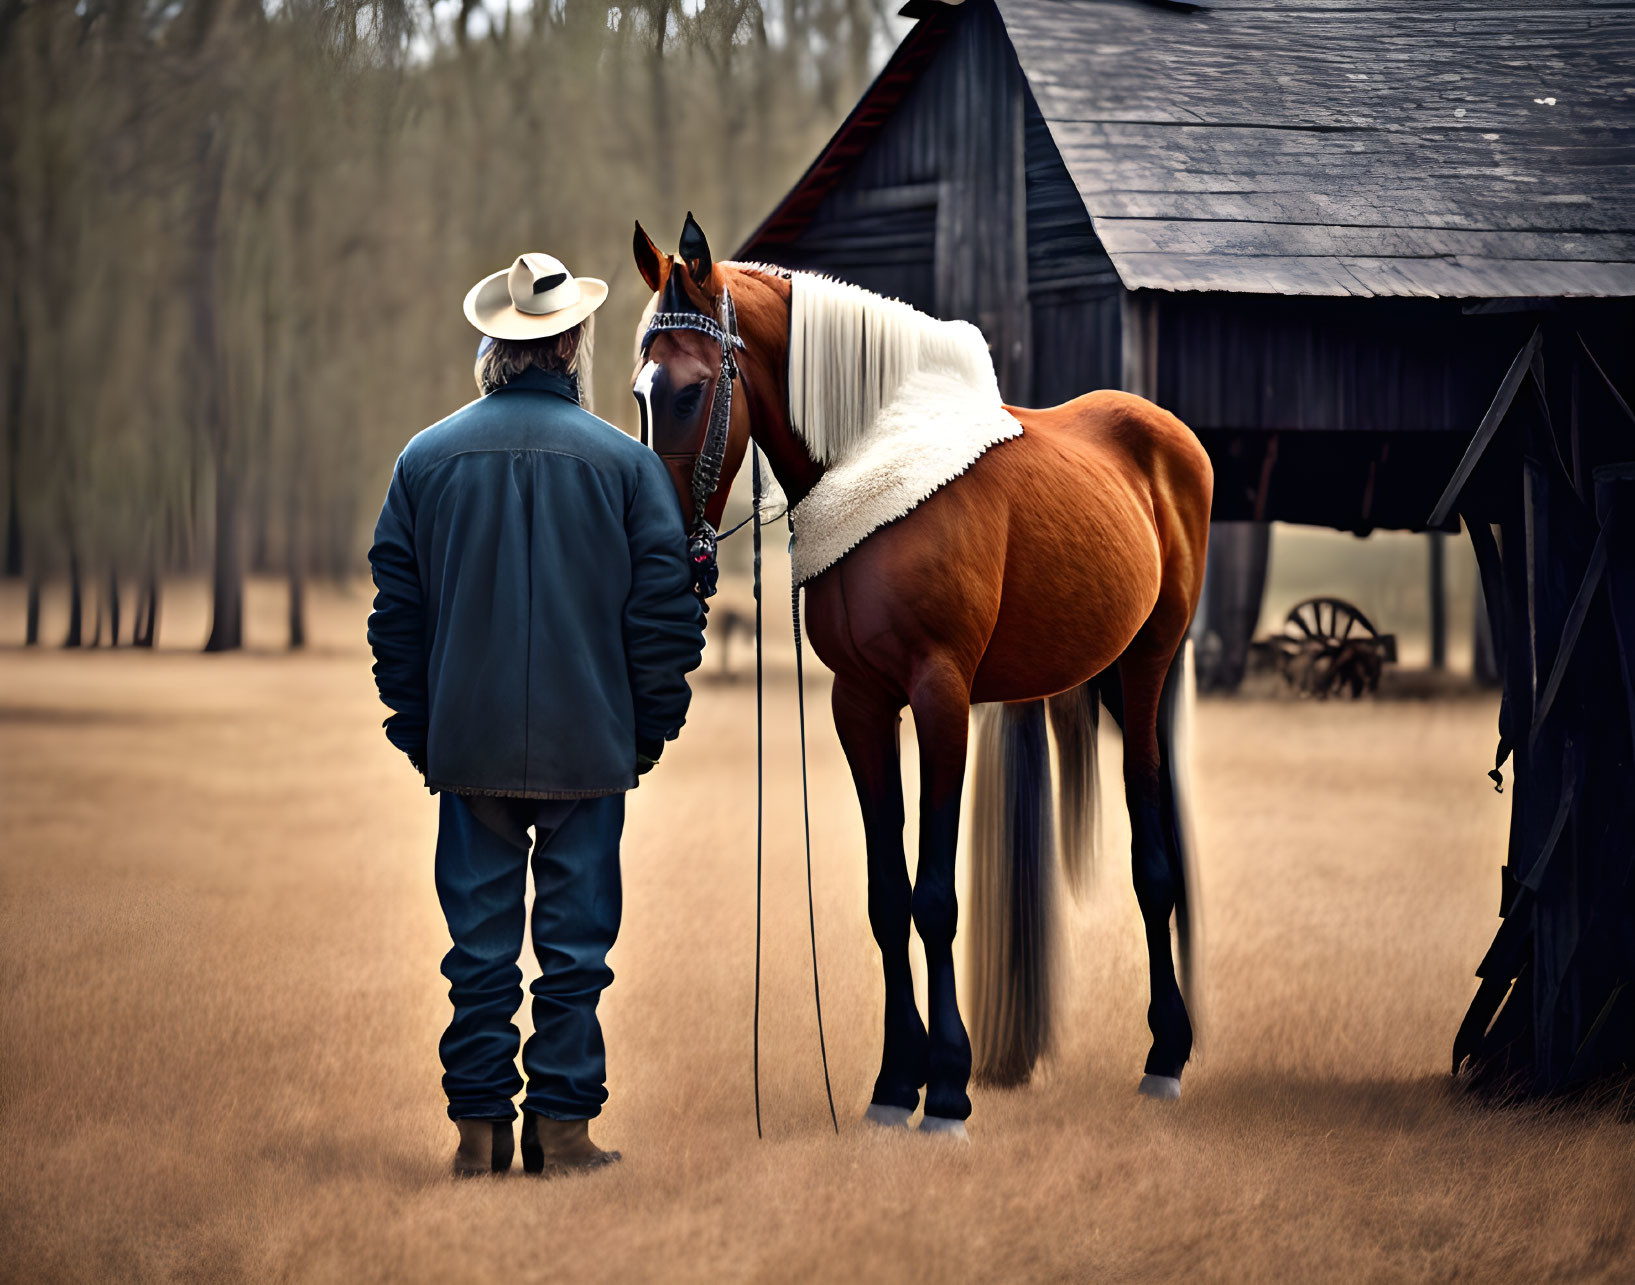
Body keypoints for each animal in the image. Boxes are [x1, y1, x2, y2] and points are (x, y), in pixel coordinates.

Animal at [631, 215, 1209, 1137]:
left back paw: (1165, 1054)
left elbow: (934, 897)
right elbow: (886, 896)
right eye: (639, 391)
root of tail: (1166, 436)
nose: (657, 549)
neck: (872, 458)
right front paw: (891, 1082)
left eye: (688, 391)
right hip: (1103, 679)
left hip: (1148, 666)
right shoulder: (861, 705)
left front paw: (945, 1089)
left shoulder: (940, 698)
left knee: (1154, 859)